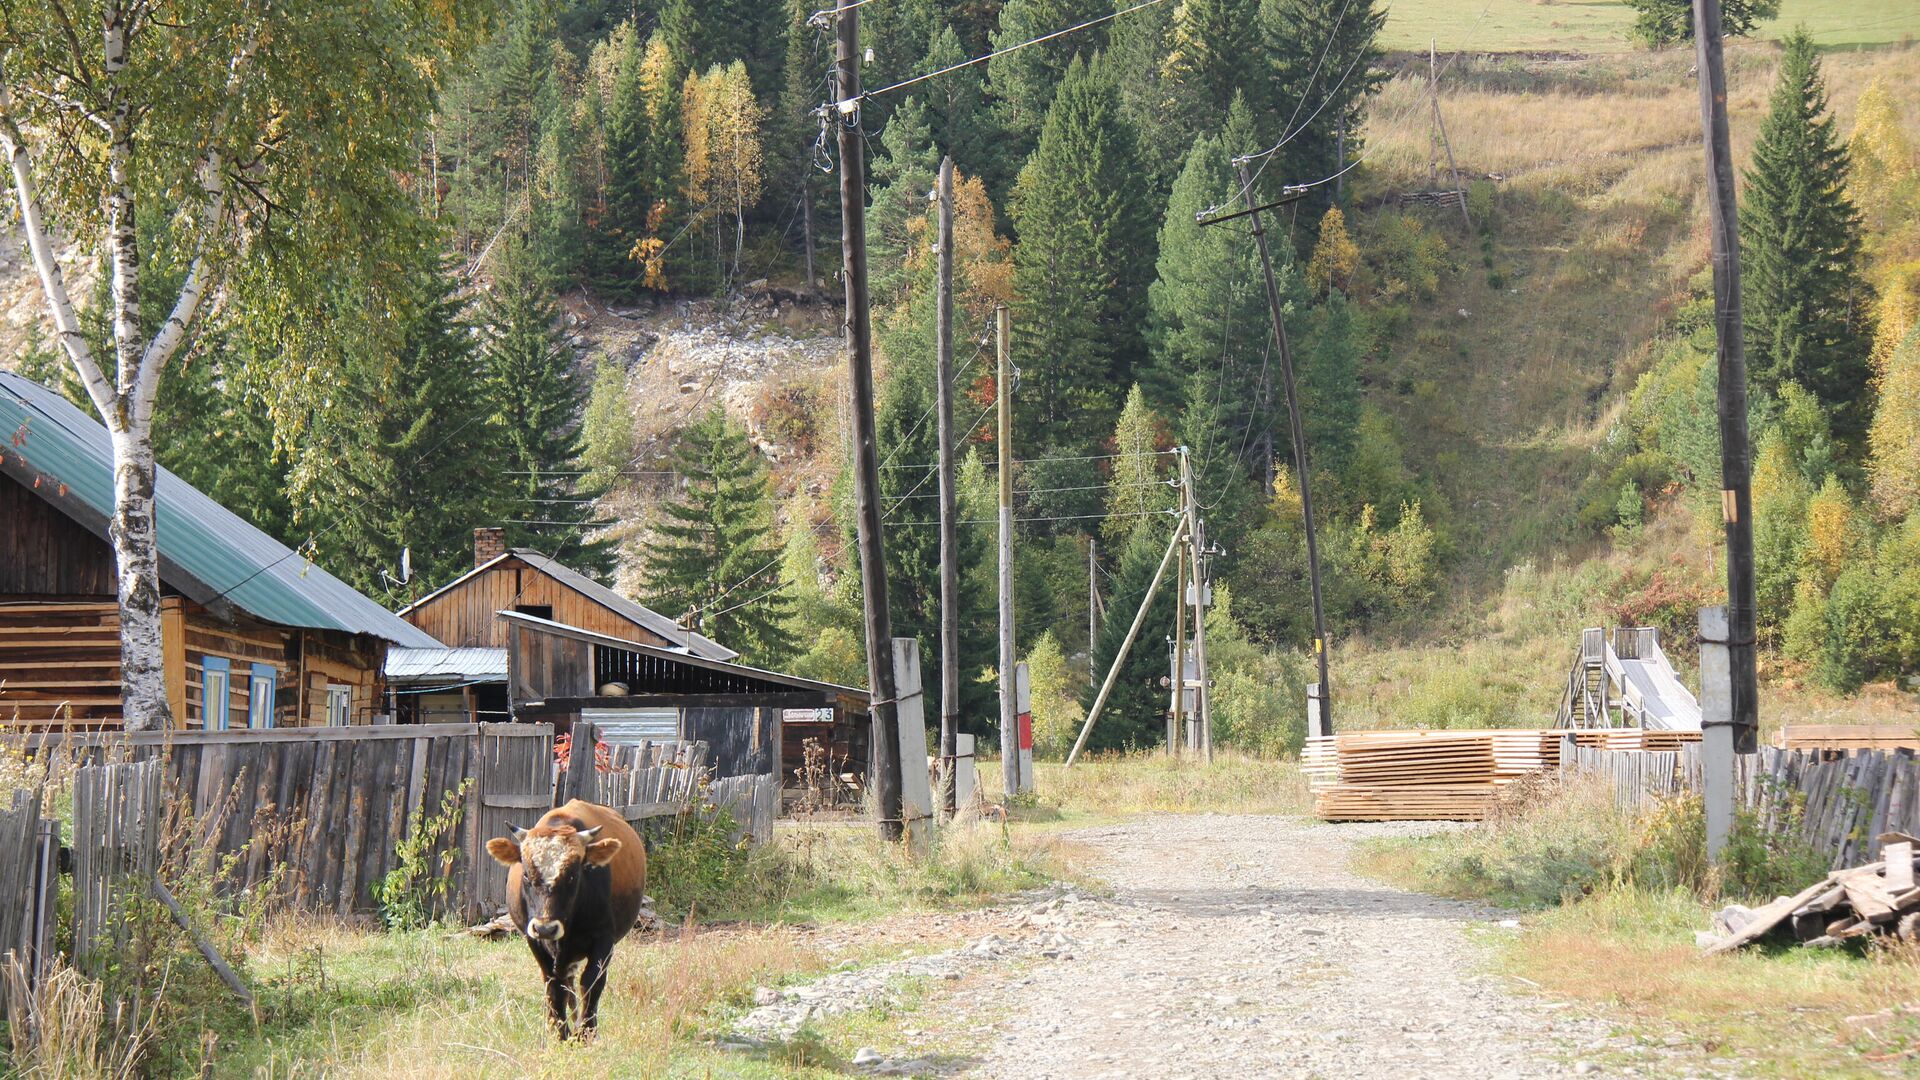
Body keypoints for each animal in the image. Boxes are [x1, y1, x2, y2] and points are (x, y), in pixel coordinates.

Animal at [483, 799, 648, 1037]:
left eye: (573, 875)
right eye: (526, 874)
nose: (546, 928)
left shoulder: (604, 940)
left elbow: (591, 982)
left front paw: (585, 1032)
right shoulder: (534, 941)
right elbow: (553, 986)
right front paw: (561, 1033)